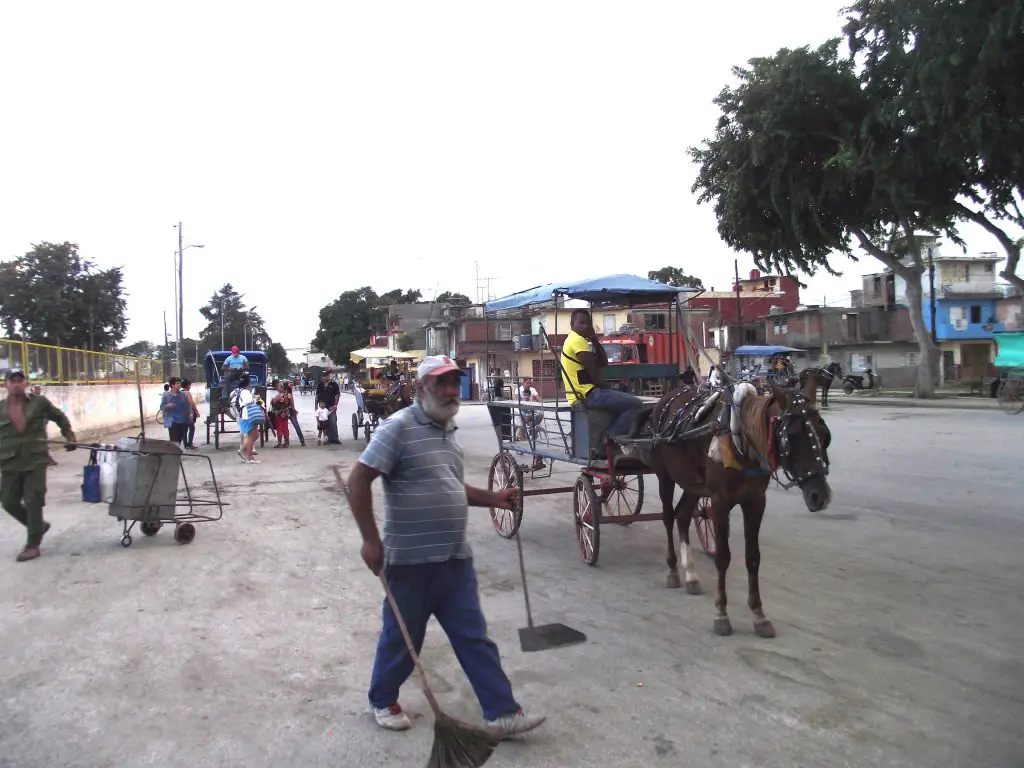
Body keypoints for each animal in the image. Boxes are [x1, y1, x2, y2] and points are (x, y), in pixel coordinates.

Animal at [622, 376, 831, 638]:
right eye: (791, 436)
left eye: (824, 434)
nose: (819, 496)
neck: (741, 441)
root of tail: (660, 402)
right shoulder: (720, 501)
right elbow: (722, 557)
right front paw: (721, 613)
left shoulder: (756, 501)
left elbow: (753, 558)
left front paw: (759, 614)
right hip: (665, 476)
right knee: (668, 517)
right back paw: (673, 570)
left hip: (694, 483)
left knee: (683, 516)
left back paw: (690, 575)